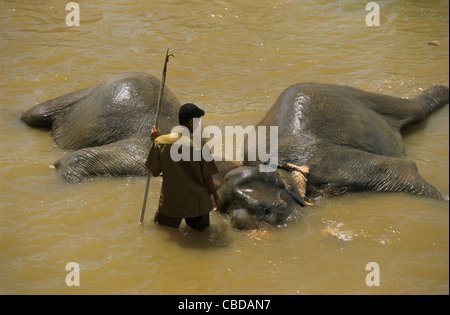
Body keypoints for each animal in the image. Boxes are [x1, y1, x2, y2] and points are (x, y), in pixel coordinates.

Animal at [217, 82, 446, 230]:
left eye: (266, 210)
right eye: (222, 210)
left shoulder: (330, 164)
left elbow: (402, 170)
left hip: (357, 96)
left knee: (416, 110)